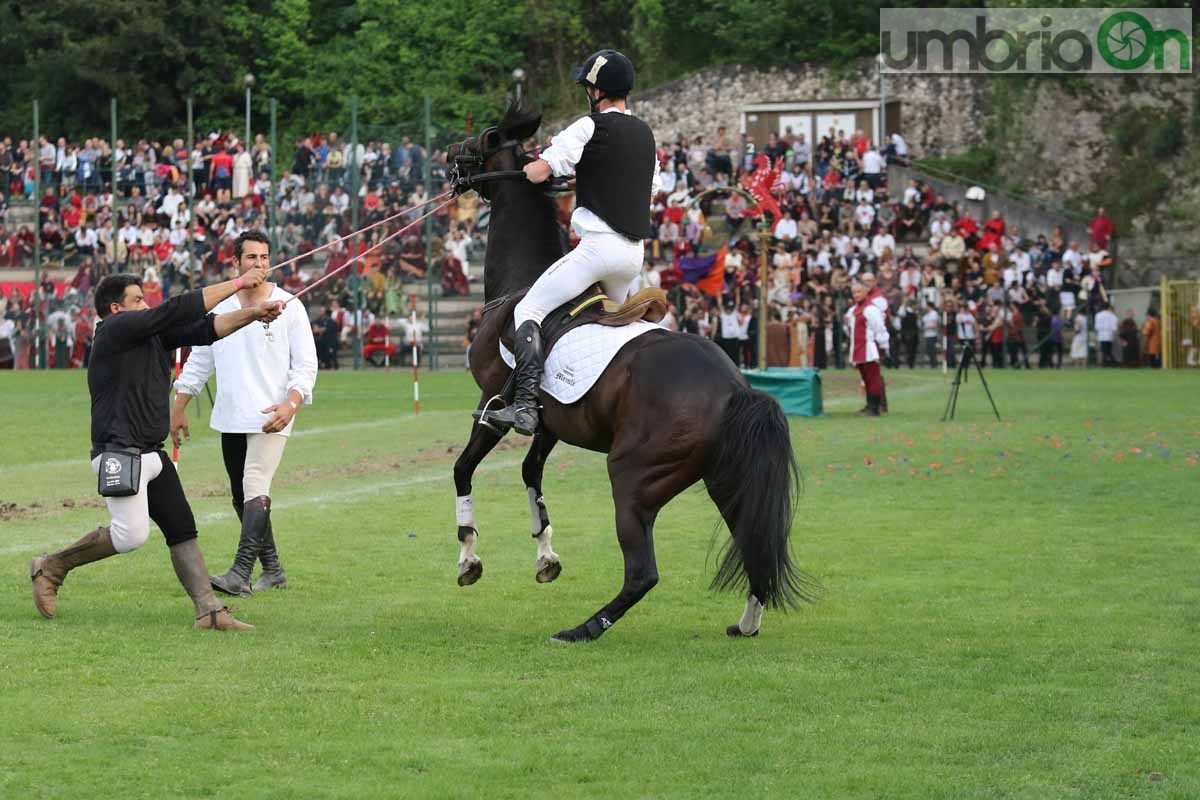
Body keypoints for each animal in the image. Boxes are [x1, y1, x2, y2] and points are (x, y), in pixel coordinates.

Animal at [451, 104, 816, 642]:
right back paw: (747, 621)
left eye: (481, 141)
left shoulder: (491, 404)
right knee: (752, 539)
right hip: (724, 477)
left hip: (632, 476)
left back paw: (583, 629)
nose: (448, 159)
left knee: (643, 572)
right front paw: (545, 555)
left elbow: (464, 469)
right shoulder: (549, 420)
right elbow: (530, 472)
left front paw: (469, 559)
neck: (520, 283)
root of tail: (735, 388)